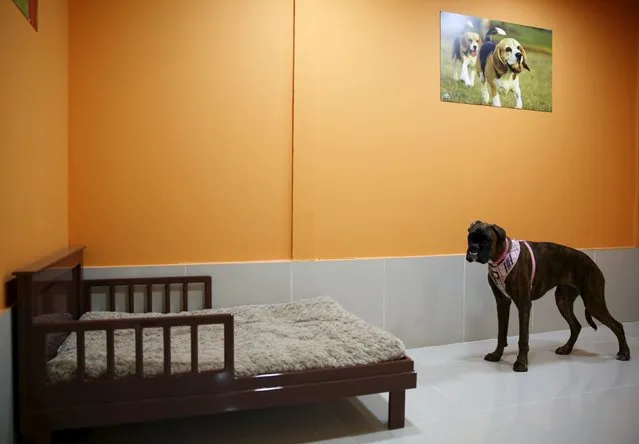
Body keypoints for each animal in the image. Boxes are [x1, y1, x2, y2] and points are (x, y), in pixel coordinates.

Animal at [464, 221, 632, 372]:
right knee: (576, 326)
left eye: (486, 240)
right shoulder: (502, 303)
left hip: (593, 303)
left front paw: (521, 363)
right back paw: (566, 349)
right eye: (470, 238)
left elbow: (523, 338)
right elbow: (501, 333)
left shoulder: (523, 304)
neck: (501, 257)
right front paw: (497, 355)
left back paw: (624, 353)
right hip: (563, 301)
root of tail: (593, 263)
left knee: (617, 325)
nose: (473, 249)